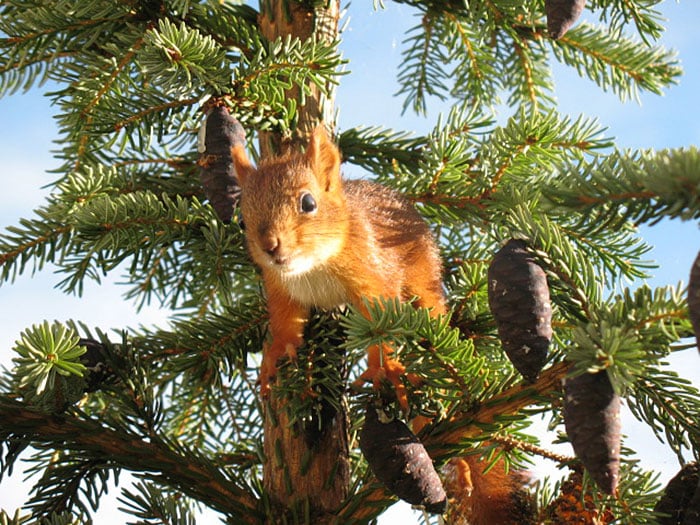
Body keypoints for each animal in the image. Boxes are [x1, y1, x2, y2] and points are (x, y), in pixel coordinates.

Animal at [230, 125, 532, 520]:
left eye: (308, 203)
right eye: (241, 219)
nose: (270, 246)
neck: (315, 267)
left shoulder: (375, 279)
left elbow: (381, 326)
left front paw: (384, 368)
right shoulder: (282, 288)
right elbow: (286, 321)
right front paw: (276, 350)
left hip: (423, 284)